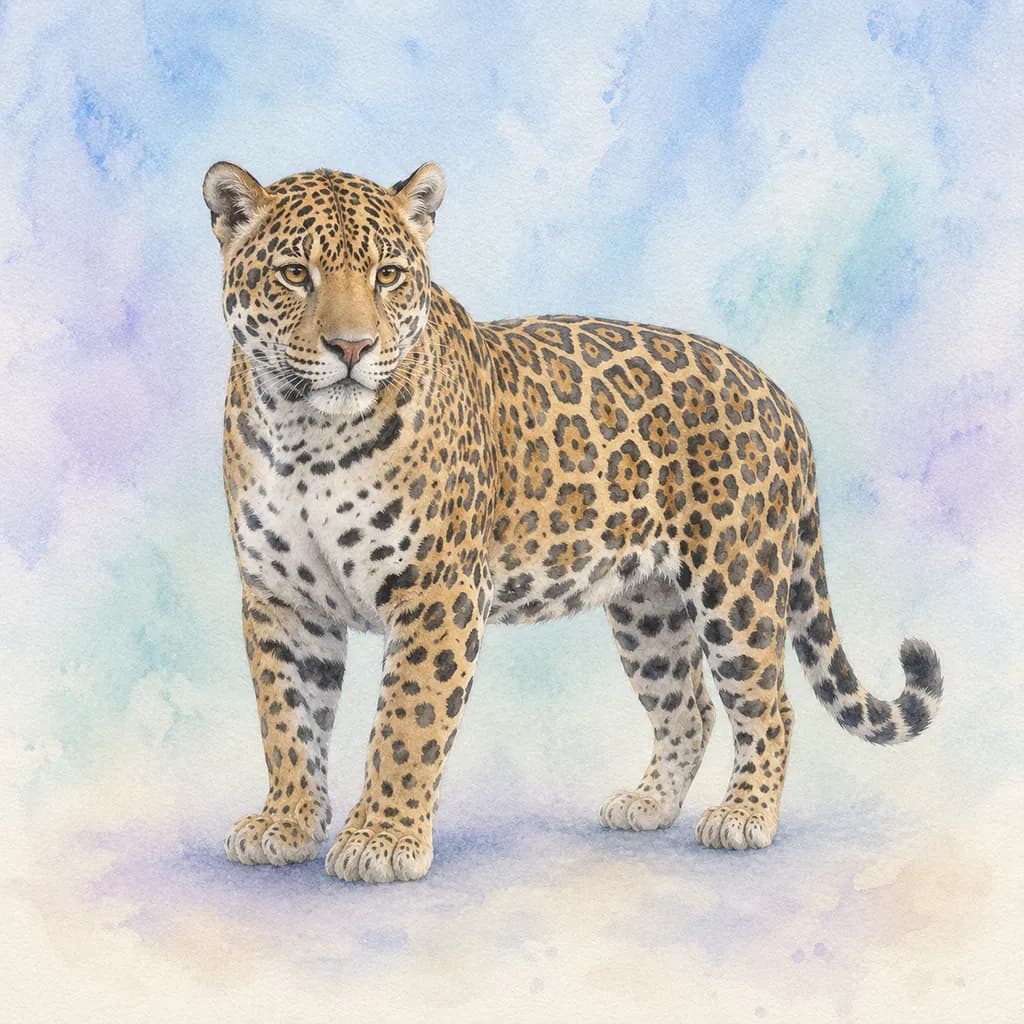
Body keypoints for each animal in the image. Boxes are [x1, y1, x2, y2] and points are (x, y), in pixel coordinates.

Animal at [203, 159, 942, 884]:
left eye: (387, 276)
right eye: (294, 274)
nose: (351, 347)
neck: (307, 436)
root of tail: (780, 397)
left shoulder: (438, 594)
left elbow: (408, 723)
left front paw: (381, 839)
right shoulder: (280, 599)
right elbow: (288, 719)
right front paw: (287, 822)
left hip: (738, 586)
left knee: (769, 705)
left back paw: (745, 815)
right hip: (649, 607)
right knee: (690, 708)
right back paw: (648, 804)